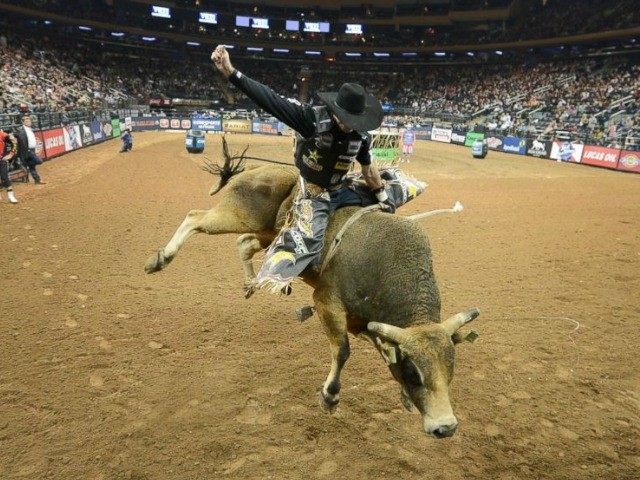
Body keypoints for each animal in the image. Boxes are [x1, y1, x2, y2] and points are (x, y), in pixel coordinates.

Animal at [144, 150, 480, 438]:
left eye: (451, 367)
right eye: (413, 372)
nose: (445, 427)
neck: (387, 266)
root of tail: (257, 169)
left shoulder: (368, 323)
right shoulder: (326, 302)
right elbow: (342, 350)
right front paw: (329, 396)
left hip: (268, 234)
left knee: (244, 244)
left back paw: (251, 283)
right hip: (235, 215)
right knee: (195, 217)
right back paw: (160, 259)